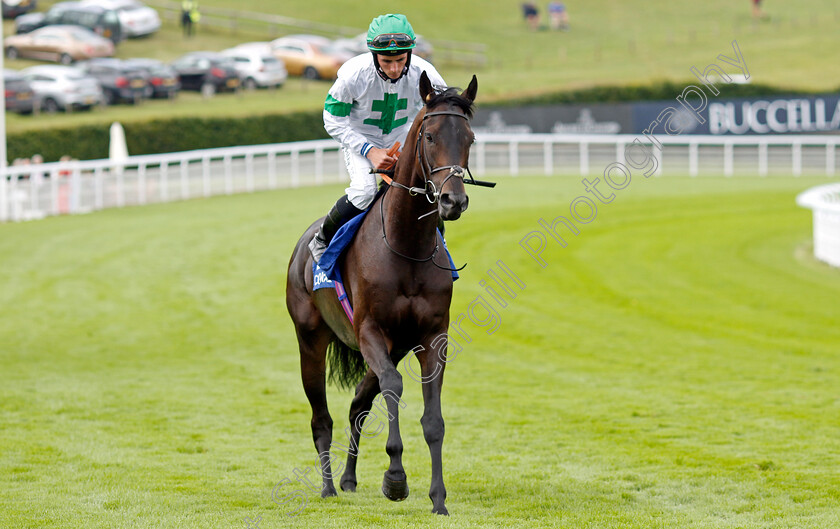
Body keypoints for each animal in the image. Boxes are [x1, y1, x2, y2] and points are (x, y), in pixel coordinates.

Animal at [284, 72, 476, 512]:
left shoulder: (431, 337)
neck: (407, 246)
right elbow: (394, 387)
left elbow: (433, 419)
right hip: (311, 338)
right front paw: (395, 479)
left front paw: (438, 499)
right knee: (321, 418)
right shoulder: (370, 329)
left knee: (358, 403)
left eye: (470, 138)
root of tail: (302, 244)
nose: (452, 200)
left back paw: (348, 479)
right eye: (430, 136)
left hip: (394, 346)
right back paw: (327, 487)